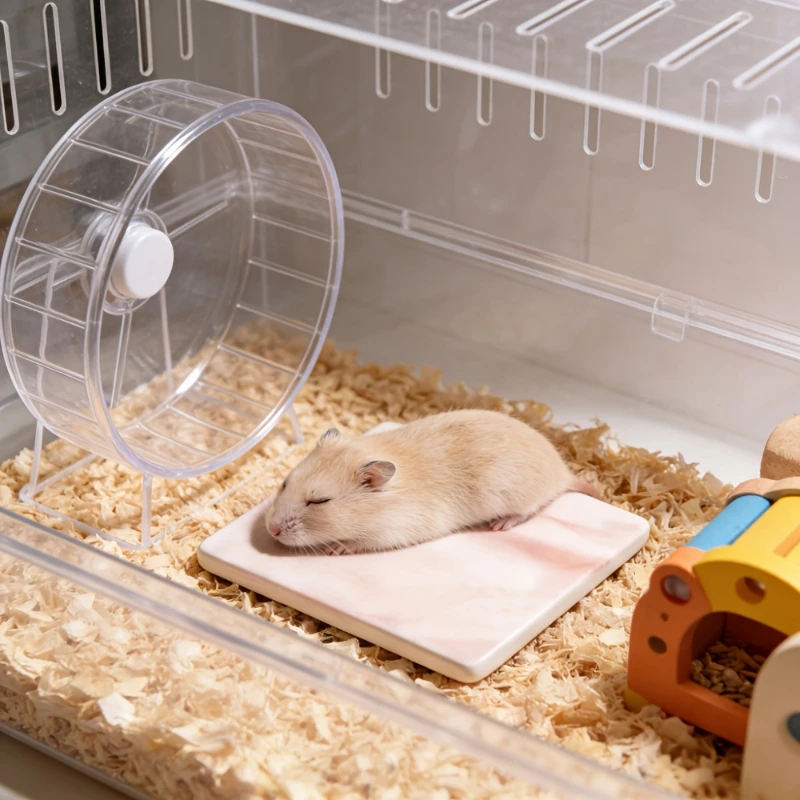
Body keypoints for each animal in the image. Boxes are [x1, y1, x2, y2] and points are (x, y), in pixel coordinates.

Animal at [264, 409, 600, 555]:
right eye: (284, 484)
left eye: (319, 501)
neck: (383, 503)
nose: (271, 531)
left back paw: (499, 525)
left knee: (529, 511)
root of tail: (562, 471)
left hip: (519, 495)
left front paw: (336, 547)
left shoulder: (397, 528)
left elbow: (360, 541)